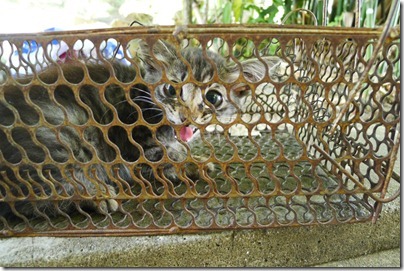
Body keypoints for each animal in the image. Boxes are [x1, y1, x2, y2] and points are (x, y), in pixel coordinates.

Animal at [0, 40, 280, 218]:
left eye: (213, 97)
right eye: (171, 89)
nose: (186, 118)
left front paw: (191, 154)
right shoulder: (132, 147)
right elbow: (166, 157)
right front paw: (193, 162)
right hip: (64, 133)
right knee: (32, 197)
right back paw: (95, 195)